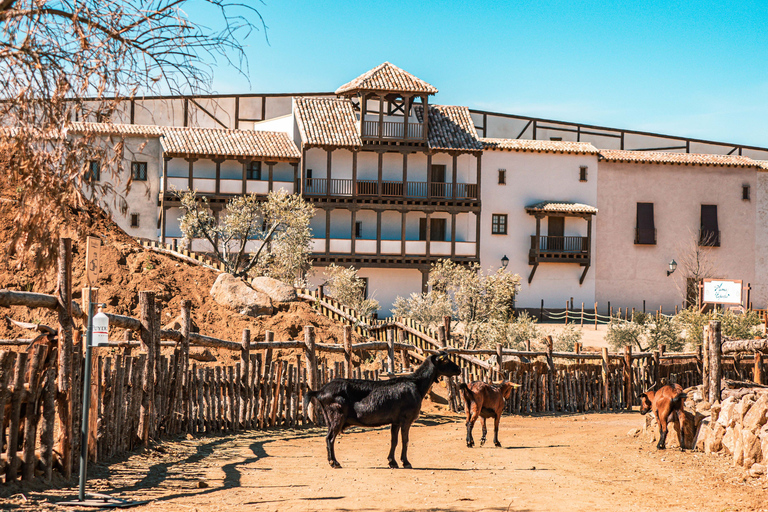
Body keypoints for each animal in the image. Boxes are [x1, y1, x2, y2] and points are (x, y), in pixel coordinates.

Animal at [304, 352, 462, 468]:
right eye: (446, 361)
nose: (459, 369)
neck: (416, 384)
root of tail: (320, 391)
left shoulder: (395, 421)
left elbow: (394, 440)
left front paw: (392, 462)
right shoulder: (406, 419)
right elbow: (405, 440)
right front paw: (406, 462)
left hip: (330, 419)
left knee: (327, 438)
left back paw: (332, 461)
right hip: (337, 416)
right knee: (330, 438)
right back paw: (334, 463)